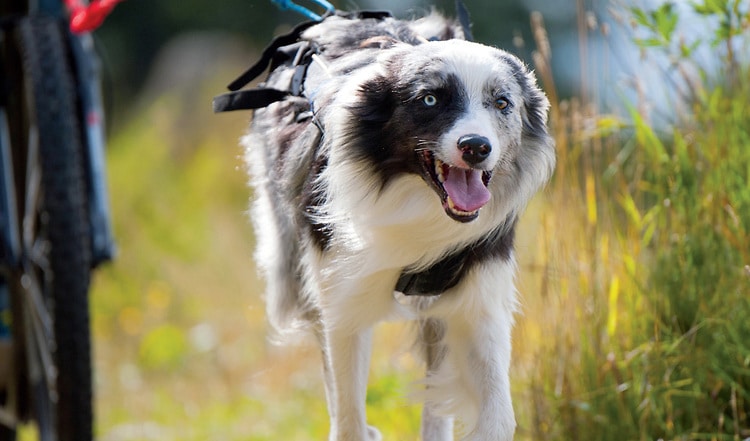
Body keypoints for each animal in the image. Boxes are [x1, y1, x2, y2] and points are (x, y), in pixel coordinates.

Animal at [241, 7, 560, 440]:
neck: (420, 206)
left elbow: (497, 417)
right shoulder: (342, 300)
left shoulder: (478, 303)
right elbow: (349, 419)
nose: (476, 147)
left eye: (502, 102)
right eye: (429, 99)